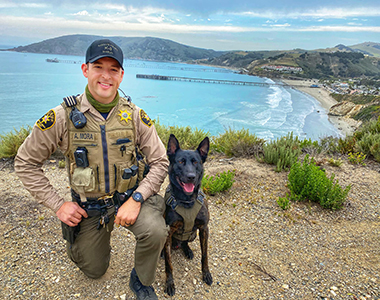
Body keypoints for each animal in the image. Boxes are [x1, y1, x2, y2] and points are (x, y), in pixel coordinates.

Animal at [163, 135, 212, 296]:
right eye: (180, 161)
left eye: (196, 162)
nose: (191, 177)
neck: (187, 200)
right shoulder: (167, 232)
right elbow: (168, 263)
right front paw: (170, 283)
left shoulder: (204, 229)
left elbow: (205, 255)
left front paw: (206, 273)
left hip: (193, 235)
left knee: (185, 242)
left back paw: (188, 250)